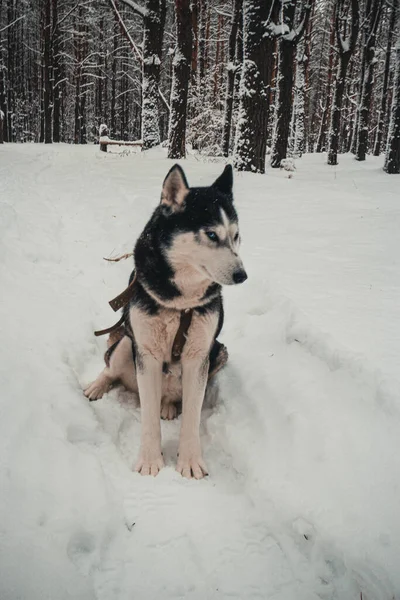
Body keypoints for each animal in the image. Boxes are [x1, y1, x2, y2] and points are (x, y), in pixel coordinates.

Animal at [85, 164, 247, 478]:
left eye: (237, 236)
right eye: (211, 234)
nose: (242, 275)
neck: (180, 302)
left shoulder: (199, 356)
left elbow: (192, 419)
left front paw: (190, 461)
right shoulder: (146, 353)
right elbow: (148, 420)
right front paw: (150, 461)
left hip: (218, 351)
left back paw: (170, 405)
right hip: (128, 342)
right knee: (110, 367)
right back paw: (97, 386)